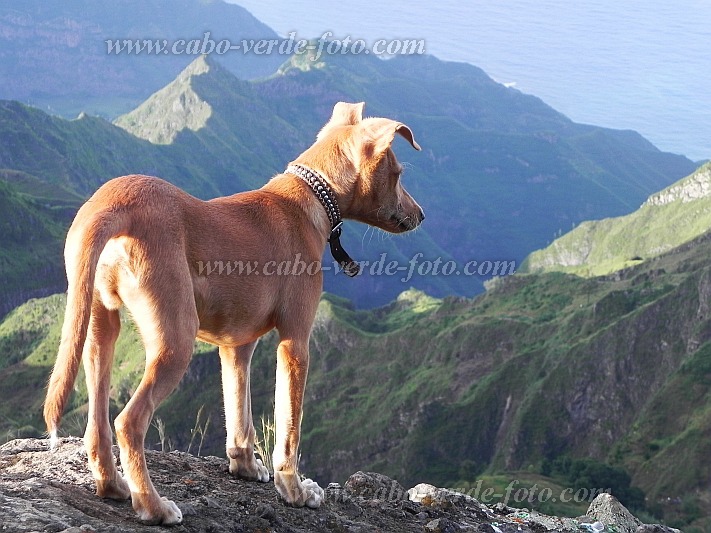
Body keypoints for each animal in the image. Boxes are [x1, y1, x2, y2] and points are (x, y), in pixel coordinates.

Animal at [43, 101, 422, 524]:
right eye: (398, 174)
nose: (421, 214)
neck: (307, 197)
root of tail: (114, 202)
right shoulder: (295, 342)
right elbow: (290, 426)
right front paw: (293, 490)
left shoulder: (235, 344)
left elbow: (239, 410)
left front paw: (245, 467)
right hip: (176, 337)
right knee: (128, 422)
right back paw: (154, 506)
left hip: (96, 323)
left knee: (97, 421)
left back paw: (112, 486)